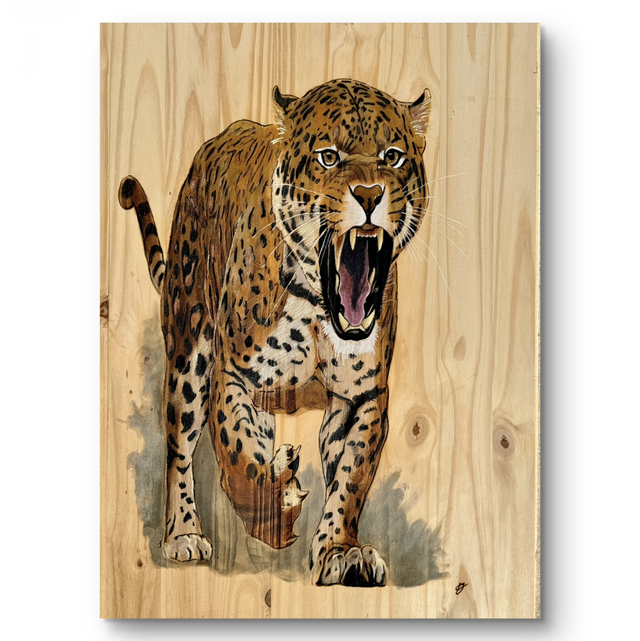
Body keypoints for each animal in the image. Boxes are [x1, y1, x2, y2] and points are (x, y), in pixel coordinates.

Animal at [118, 78, 431, 587]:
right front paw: (274, 505)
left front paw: (342, 551)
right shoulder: (231, 375)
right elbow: (236, 453)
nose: (369, 194)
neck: (319, 306)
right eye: (328, 157)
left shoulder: (363, 397)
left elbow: (350, 480)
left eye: (392, 156)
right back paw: (184, 533)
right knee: (179, 448)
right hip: (189, 352)